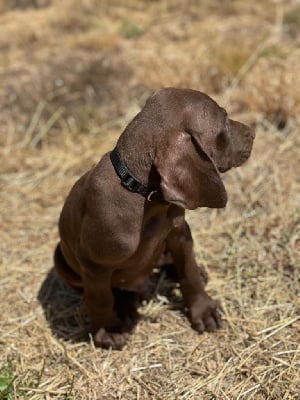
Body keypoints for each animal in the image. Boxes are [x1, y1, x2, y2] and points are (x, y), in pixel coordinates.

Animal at [54, 86, 255, 346]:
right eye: (224, 120)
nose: (252, 133)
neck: (143, 195)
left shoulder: (179, 232)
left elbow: (189, 272)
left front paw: (203, 310)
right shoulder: (94, 264)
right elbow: (100, 299)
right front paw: (107, 330)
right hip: (60, 259)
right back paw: (125, 307)